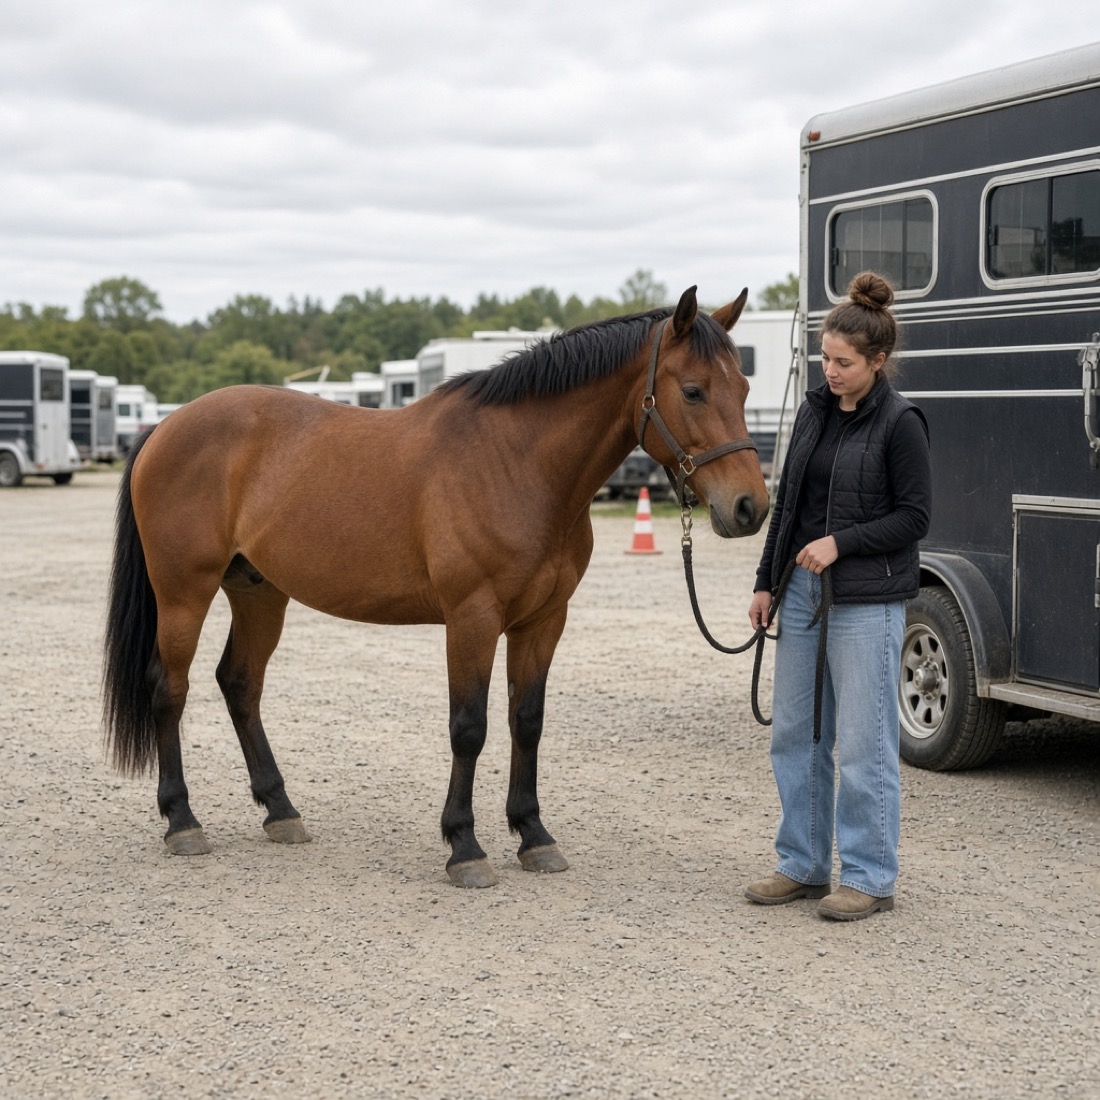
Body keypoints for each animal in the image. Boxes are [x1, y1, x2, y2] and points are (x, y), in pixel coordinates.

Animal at [102, 285, 770, 887]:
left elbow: (527, 721)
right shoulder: (472, 618)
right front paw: (465, 847)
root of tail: (166, 426)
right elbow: (469, 727)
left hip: (259, 591)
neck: (516, 463)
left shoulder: (543, 620)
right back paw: (182, 821)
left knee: (239, 684)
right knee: (170, 689)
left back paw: (281, 811)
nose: (750, 508)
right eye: (693, 390)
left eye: (743, 390)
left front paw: (534, 836)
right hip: (184, 593)